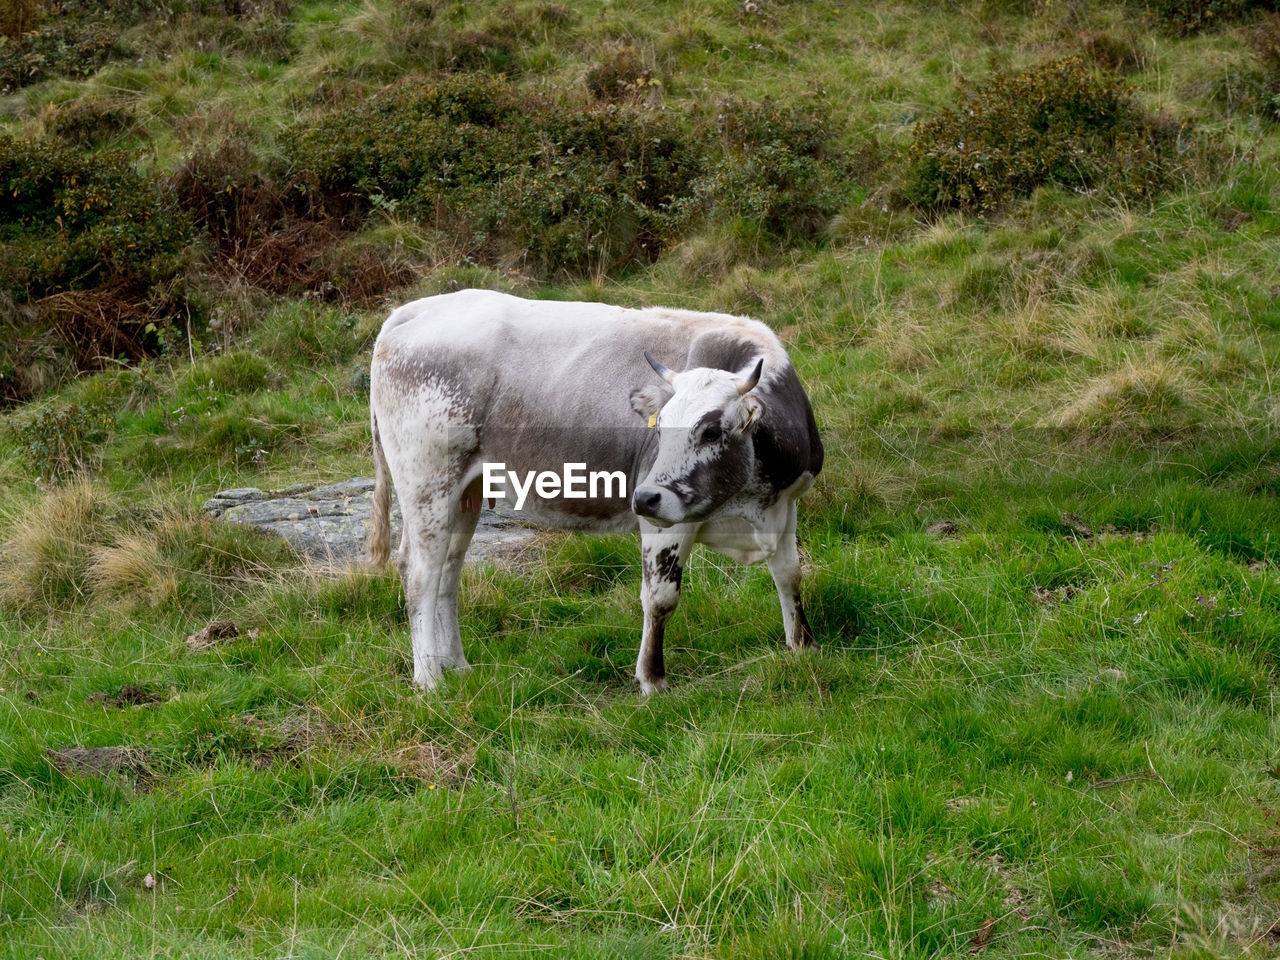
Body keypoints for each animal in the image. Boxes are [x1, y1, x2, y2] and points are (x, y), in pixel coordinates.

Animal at [366, 289, 824, 696]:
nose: (643, 497)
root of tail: (415, 309)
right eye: (659, 428)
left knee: (449, 571)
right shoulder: (665, 522)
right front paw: (652, 679)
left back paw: (458, 666)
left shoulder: (785, 506)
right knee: (420, 574)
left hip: (466, 493)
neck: (750, 505)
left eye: (711, 430)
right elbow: (660, 599)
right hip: (427, 484)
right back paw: (429, 679)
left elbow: (789, 574)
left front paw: (802, 646)